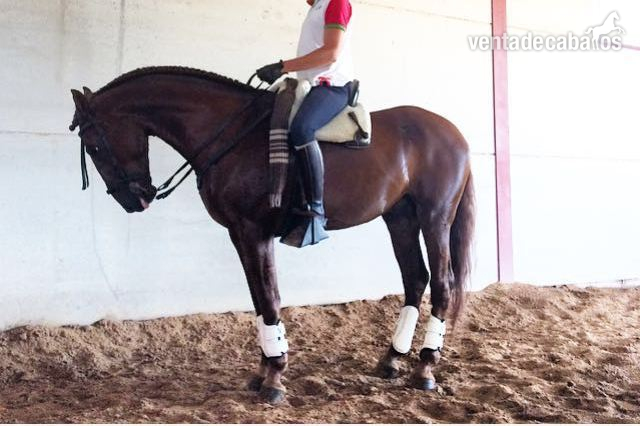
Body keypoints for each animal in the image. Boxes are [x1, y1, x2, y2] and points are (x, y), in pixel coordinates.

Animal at [68, 66, 475, 404]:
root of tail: (454, 133)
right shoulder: (239, 233)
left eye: (94, 145)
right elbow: (259, 300)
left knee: (442, 283)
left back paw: (425, 369)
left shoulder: (255, 231)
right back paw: (391, 360)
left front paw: (275, 378)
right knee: (415, 278)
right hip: (400, 217)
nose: (135, 200)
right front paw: (263, 371)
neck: (231, 135)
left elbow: (270, 296)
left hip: (435, 217)